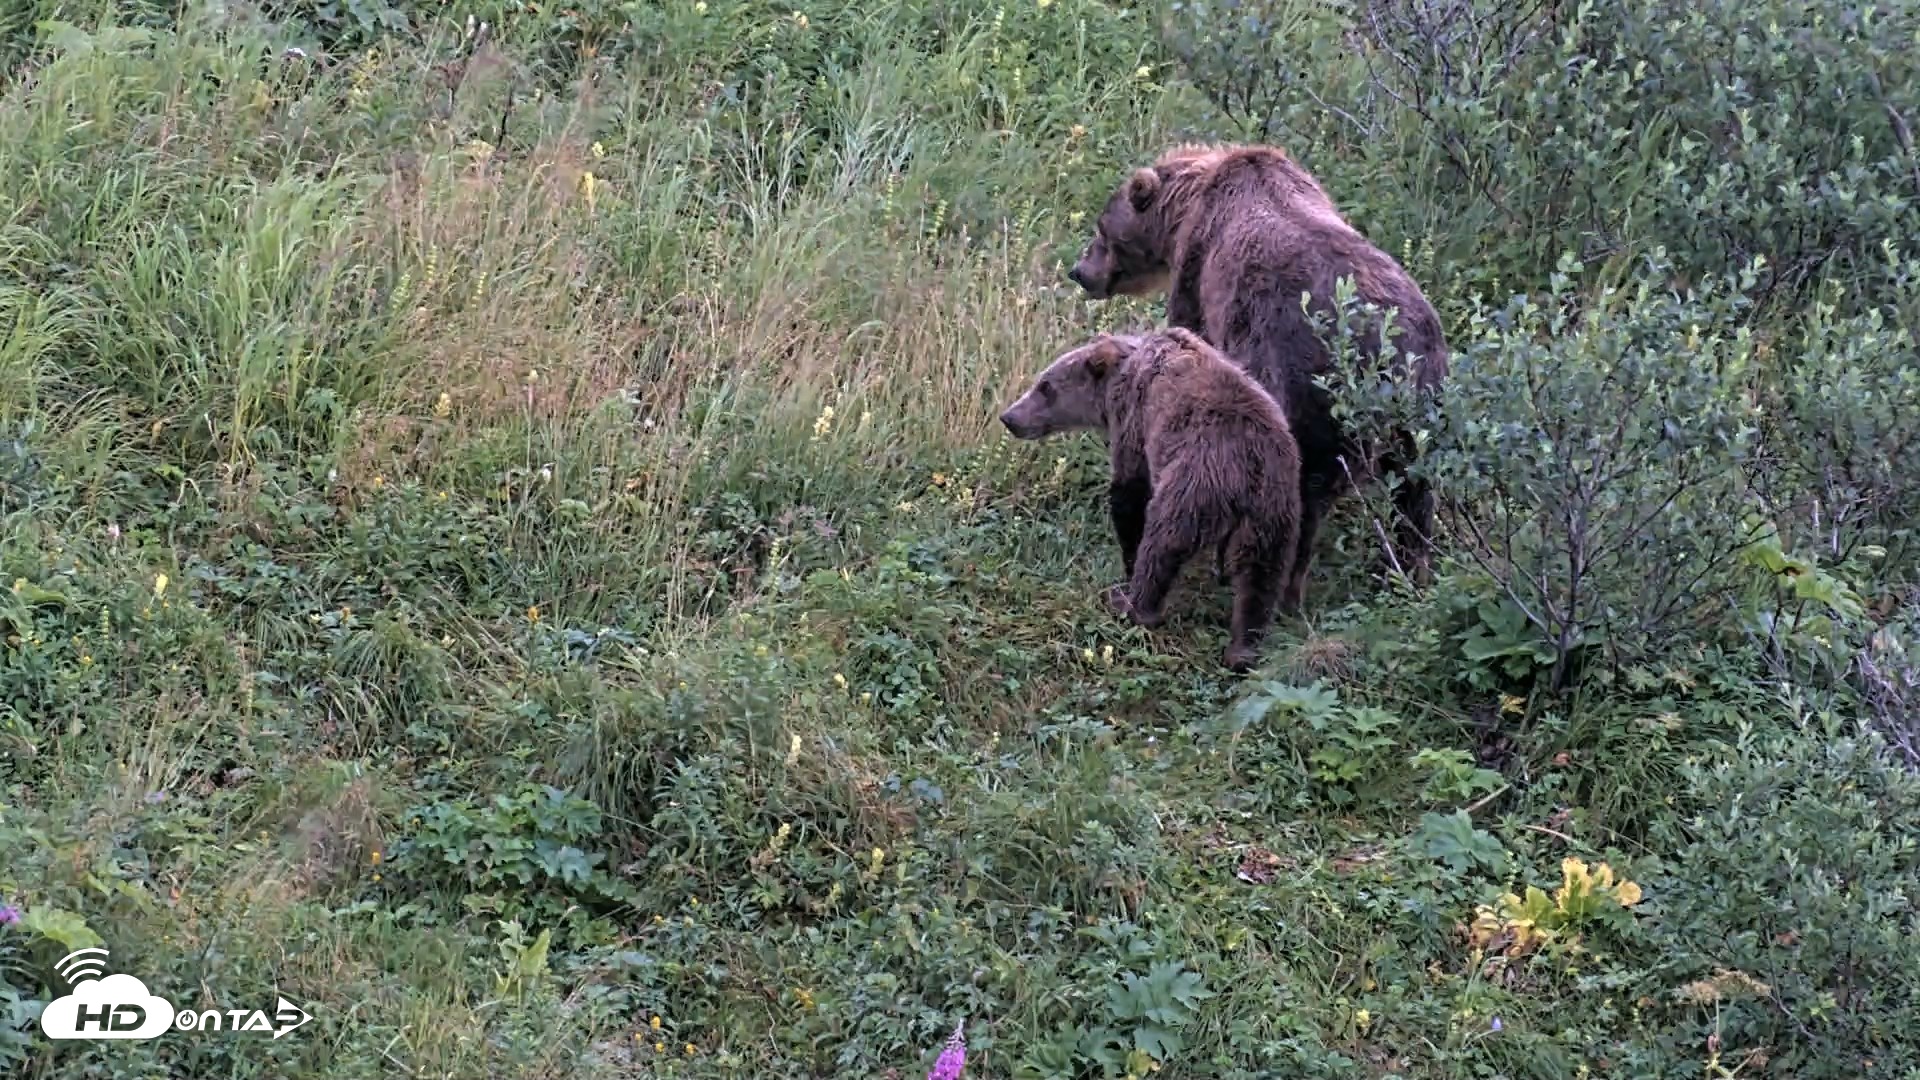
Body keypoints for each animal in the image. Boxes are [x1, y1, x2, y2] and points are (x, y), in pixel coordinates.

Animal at [998, 326, 1304, 673]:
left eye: (1046, 386)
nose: (1009, 417)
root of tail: (1250, 468)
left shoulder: (1134, 417)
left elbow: (1129, 491)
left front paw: (1127, 564)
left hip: (1194, 484)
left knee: (1161, 544)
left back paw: (1131, 603)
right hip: (1275, 509)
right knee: (1262, 576)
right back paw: (1244, 648)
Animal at [1066, 141, 1449, 602]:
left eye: (1102, 232)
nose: (1079, 272)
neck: (1187, 205)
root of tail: (1385, 355)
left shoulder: (1199, 270)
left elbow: (1192, 333)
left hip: (1310, 388)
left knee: (1301, 498)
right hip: (1425, 397)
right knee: (1415, 486)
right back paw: (1411, 570)